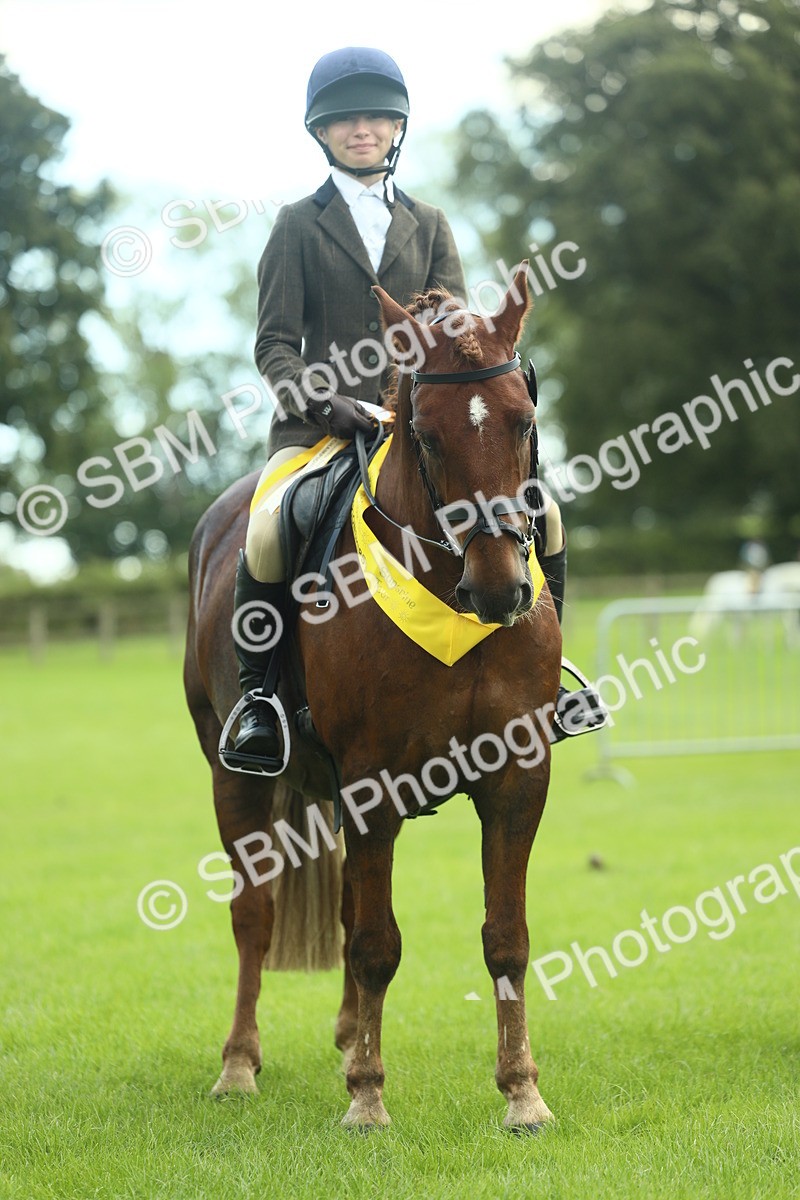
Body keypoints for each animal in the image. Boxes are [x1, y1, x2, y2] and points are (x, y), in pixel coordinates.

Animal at [183, 265, 562, 1131]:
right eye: (425, 433)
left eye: (524, 421)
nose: (500, 592)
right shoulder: (371, 783)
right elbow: (377, 944)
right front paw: (367, 1100)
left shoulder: (518, 778)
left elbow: (507, 938)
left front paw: (522, 1092)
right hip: (234, 774)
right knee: (255, 917)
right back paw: (240, 1064)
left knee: (348, 909)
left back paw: (347, 1036)